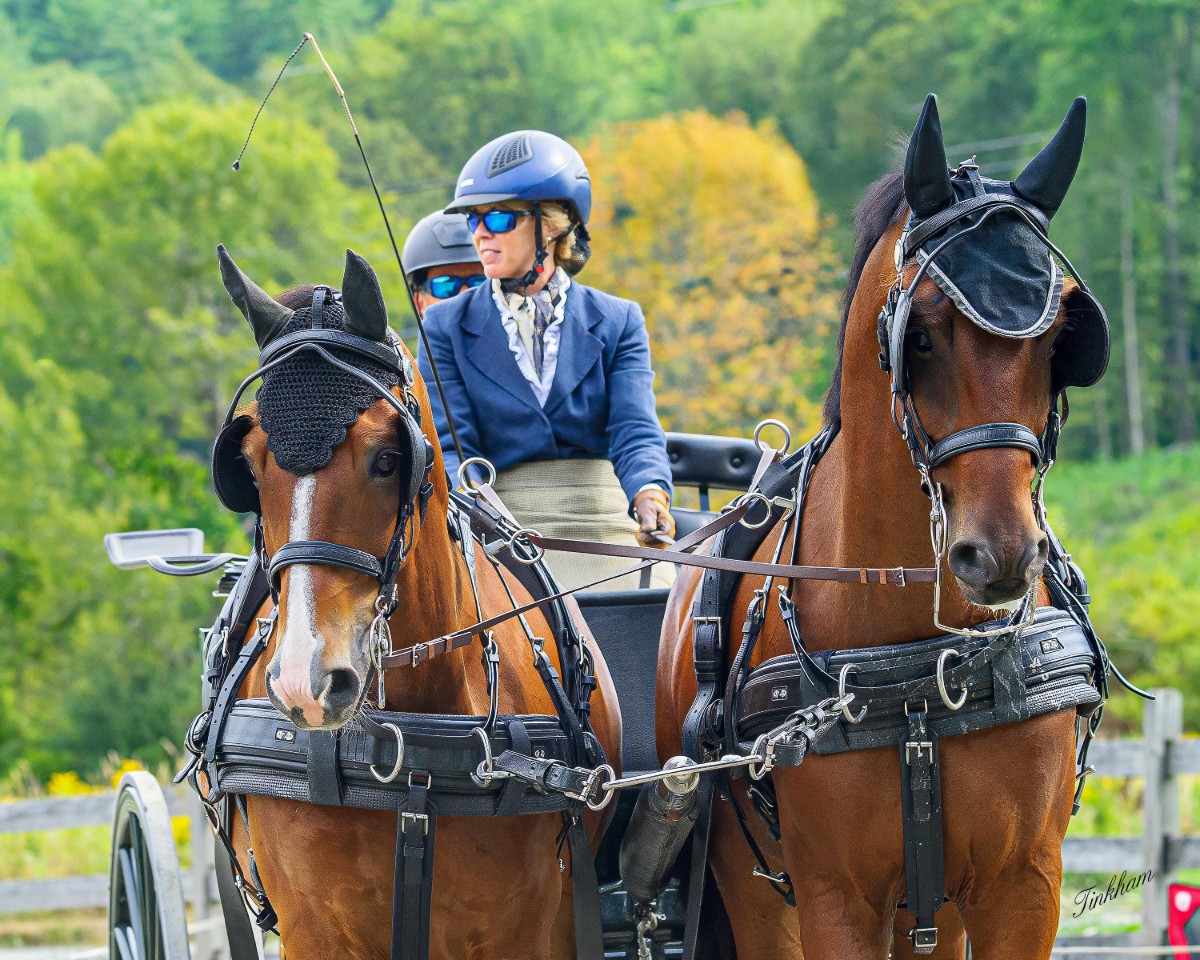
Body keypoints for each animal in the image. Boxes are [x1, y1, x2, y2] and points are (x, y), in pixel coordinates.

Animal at [209, 246, 622, 959]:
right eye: (252, 466)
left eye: (386, 456)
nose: (305, 682)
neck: (405, 756)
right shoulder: (315, 935)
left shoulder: (523, 932)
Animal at [657, 95, 1110, 959]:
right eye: (921, 336)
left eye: (1055, 342)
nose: (1001, 553)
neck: (922, 671)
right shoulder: (837, 900)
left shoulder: (1021, 887)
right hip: (758, 894)